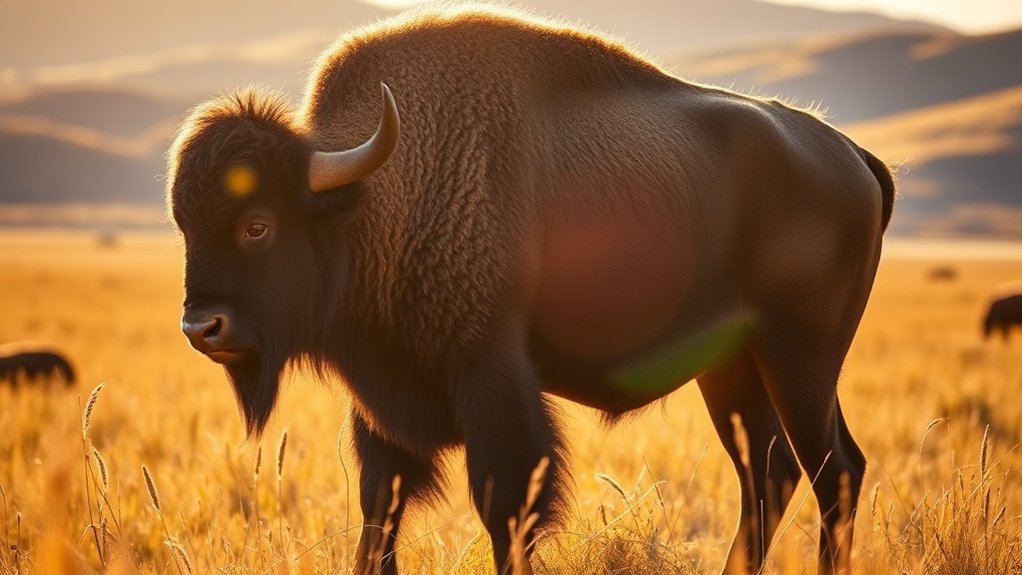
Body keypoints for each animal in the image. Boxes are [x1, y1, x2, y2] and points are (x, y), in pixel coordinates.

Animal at [167, 8, 894, 575]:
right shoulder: (384, 403)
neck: (376, 196)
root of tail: (852, 157)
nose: (202, 329)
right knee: (770, 475)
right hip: (733, 370)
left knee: (835, 472)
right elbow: (381, 510)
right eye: (183, 225)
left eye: (257, 224)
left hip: (800, 359)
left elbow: (507, 507)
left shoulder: (491, 377)